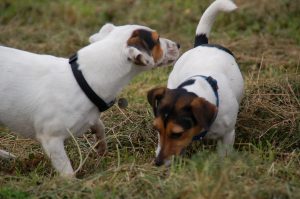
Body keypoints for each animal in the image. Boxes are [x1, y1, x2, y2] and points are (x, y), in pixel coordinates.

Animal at [0, 22, 179, 176]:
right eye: (157, 39)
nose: (178, 45)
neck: (83, 79)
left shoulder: (89, 118)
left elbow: (100, 127)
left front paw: (101, 147)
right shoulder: (52, 140)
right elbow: (67, 171)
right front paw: (72, 185)